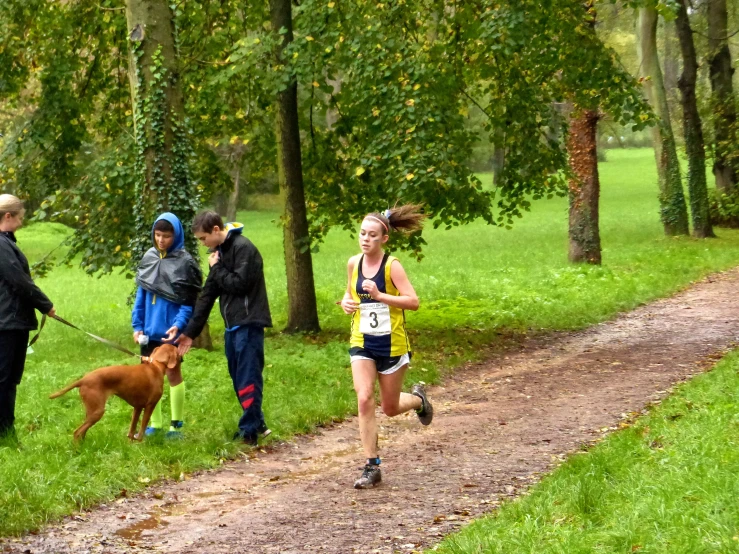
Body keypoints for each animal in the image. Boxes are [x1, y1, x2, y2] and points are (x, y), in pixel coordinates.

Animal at [49, 340, 181, 440]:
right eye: (177, 350)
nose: (182, 356)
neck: (156, 365)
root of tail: (83, 379)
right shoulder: (150, 405)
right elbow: (142, 428)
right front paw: (140, 442)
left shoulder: (137, 407)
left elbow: (132, 430)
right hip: (97, 412)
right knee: (77, 432)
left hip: (91, 411)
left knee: (82, 432)